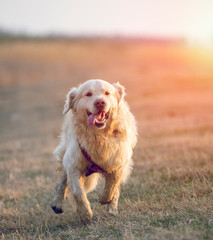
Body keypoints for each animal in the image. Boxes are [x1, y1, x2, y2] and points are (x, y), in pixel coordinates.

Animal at [51, 79, 137, 222]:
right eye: (88, 94)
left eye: (107, 93)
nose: (100, 102)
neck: (99, 135)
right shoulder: (73, 164)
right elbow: (78, 192)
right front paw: (85, 213)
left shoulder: (120, 160)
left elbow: (113, 185)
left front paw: (105, 199)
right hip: (65, 155)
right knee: (62, 181)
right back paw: (57, 204)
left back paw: (112, 209)